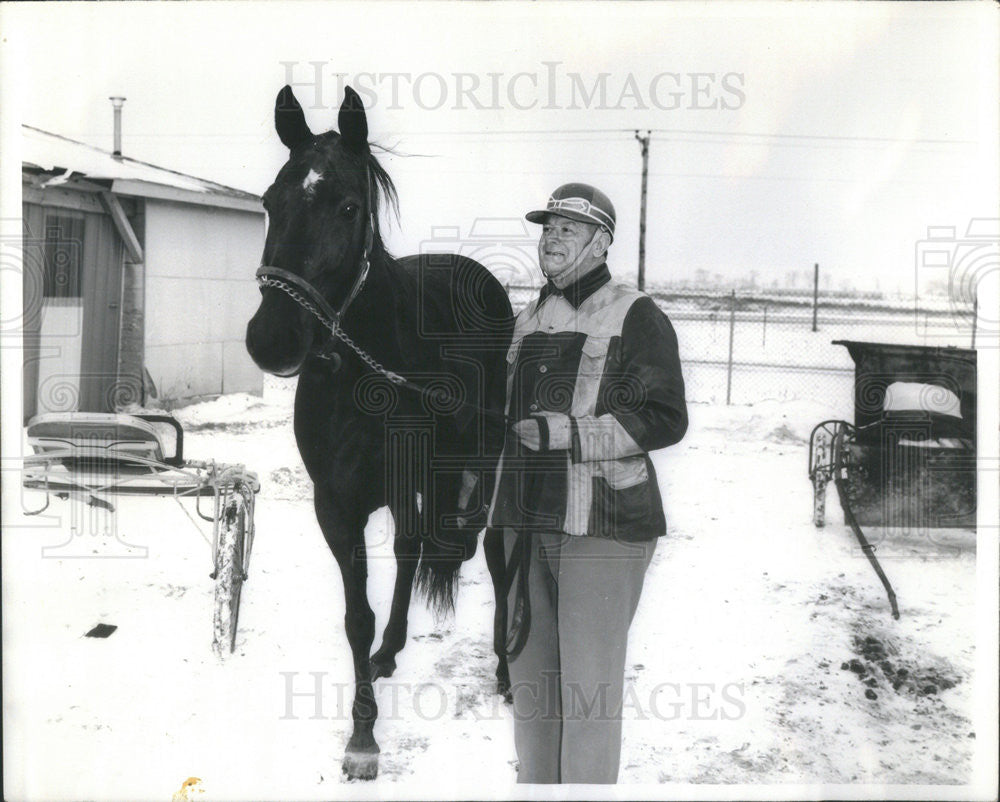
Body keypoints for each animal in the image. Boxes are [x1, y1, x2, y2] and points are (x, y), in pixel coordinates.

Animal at [246, 86, 516, 776]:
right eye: (269, 202)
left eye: (348, 207)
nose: (271, 339)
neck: (361, 373)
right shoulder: (336, 505)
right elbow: (357, 617)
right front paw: (364, 728)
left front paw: (365, 739)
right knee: (415, 550)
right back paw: (392, 650)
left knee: (494, 557)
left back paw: (505, 671)